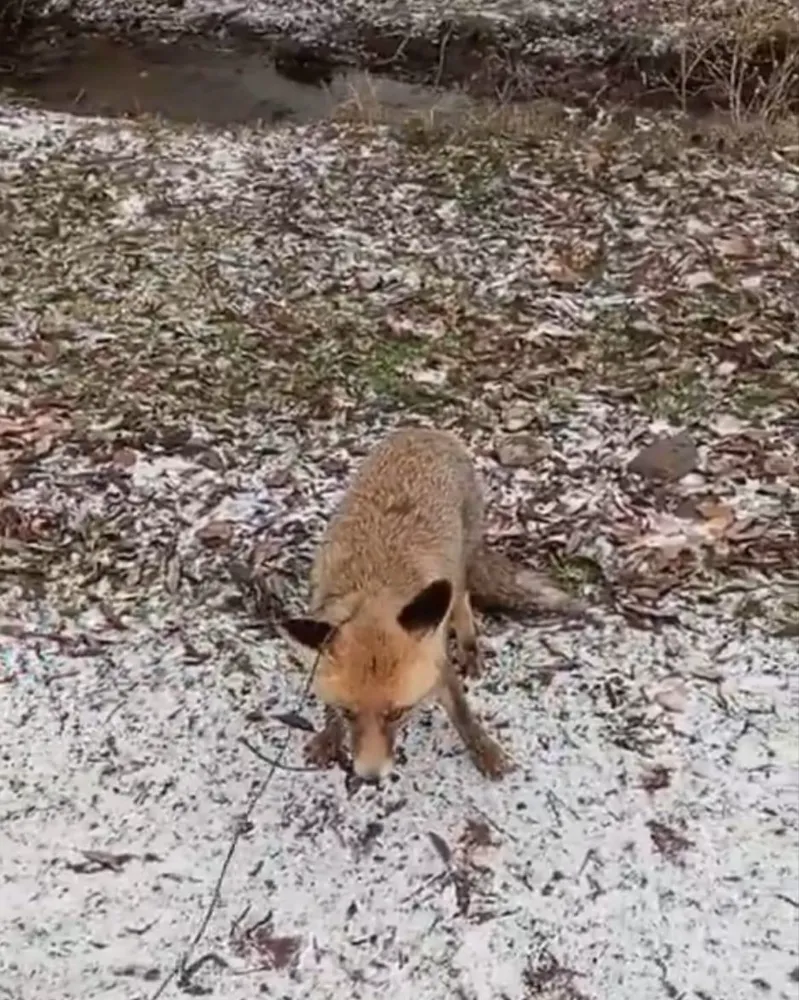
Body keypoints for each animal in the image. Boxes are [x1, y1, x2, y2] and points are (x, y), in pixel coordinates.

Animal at [284, 422, 584, 780]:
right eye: (349, 713)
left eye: (398, 713)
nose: (370, 777)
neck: (373, 592)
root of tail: (425, 430)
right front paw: (329, 735)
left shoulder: (435, 659)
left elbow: (462, 713)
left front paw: (485, 751)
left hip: (458, 568)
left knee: (462, 602)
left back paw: (470, 648)